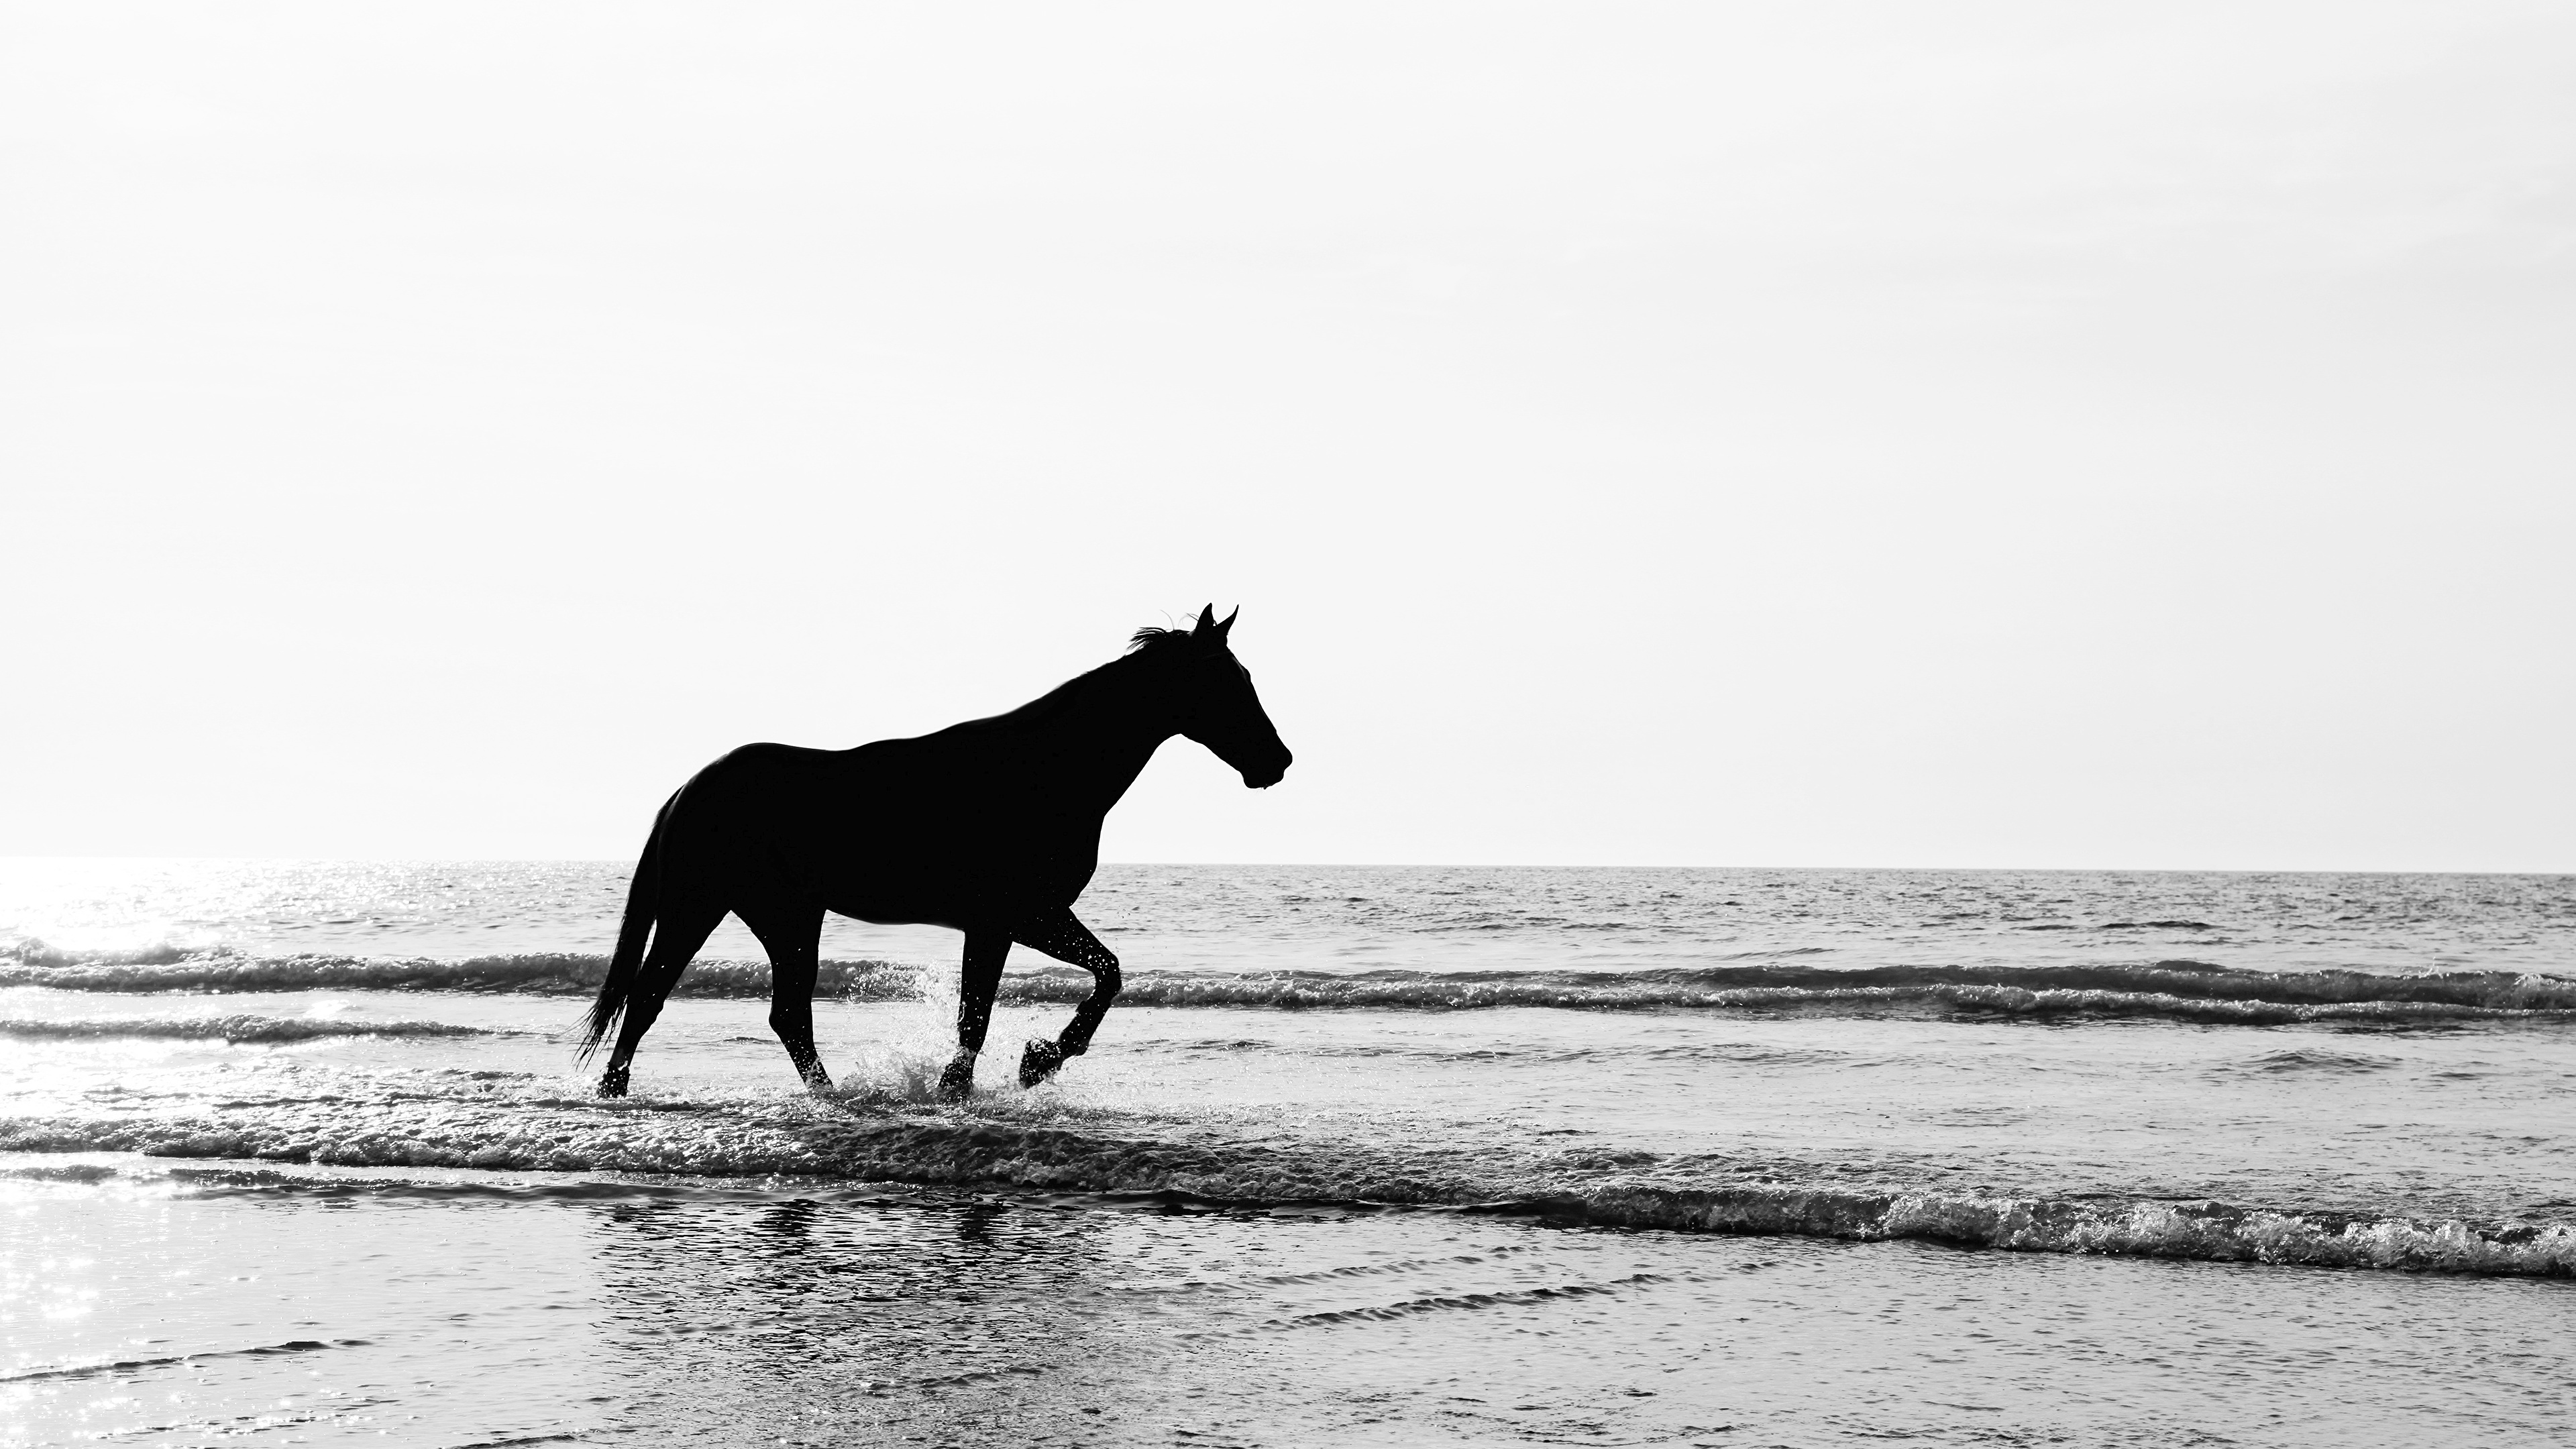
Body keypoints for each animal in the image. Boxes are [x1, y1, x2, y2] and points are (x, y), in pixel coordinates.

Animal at [580, 606, 1288, 1093]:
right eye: (1228, 682)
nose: (1276, 761)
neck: (1044, 770)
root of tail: (689, 789)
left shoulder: (1015, 920)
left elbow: (1092, 977)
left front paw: (1023, 1065)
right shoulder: (1013, 917)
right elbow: (1005, 1006)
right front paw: (1013, 1069)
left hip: (768, 916)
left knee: (762, 1013)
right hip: (714, 909)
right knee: (664, 1000)